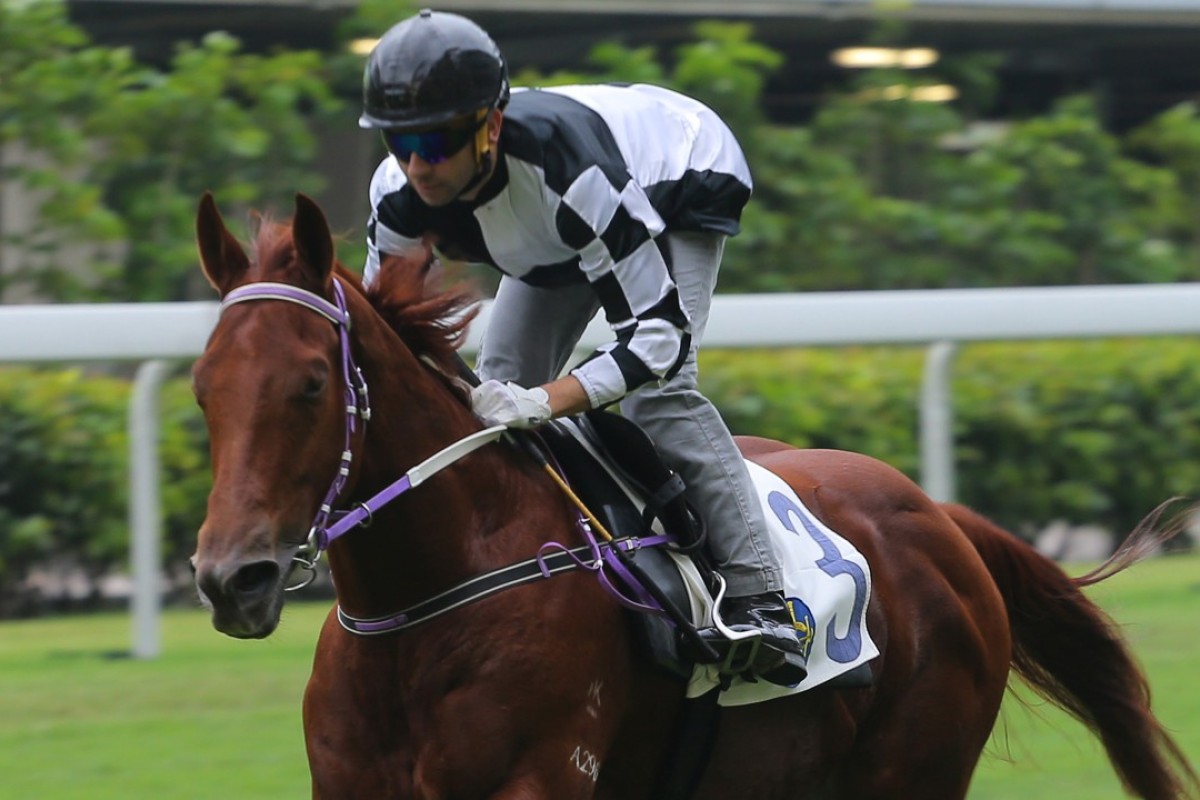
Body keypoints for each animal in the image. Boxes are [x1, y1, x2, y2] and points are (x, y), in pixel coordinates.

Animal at [192, 194, 1195, 800]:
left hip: (914, 769)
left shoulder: (540, 775)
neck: (427, 601)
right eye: (204, 388)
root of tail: (941, 518)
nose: (230, 579)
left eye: (310, 385)